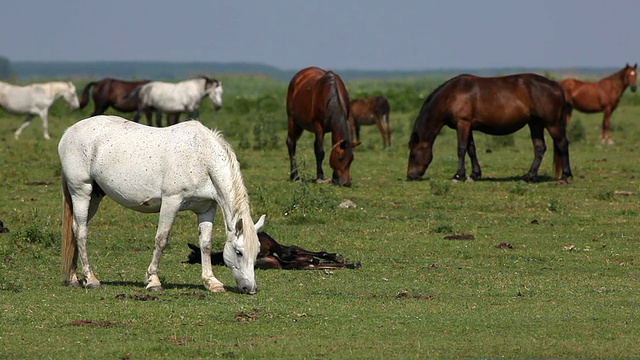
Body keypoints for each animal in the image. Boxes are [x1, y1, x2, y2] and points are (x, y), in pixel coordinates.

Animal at [58, 114, 262, 292]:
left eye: (257, 253)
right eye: (239, 252)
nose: (249, 289)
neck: (201, 157)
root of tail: (68, 132)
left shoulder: (206, 209)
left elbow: (206, 244)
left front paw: (211, 282)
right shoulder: (171, 202)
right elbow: (161, 240)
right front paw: (153, 281)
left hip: (94, 197)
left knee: (75, 229)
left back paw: (74, 278)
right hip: (81, 192)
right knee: (81, 232)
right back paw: (91, 279)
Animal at [408, 74, 572, 184]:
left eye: (413, 154)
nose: (410, 176)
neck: (452, 95)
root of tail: (556, 86)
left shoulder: (463, 123)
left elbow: (461, 149)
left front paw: (458, 175)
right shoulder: (468, 126)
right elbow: (471, 149)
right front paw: (474, 175)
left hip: (552, 124)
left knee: (562, 144)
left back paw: (565, 177)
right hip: (535, 124)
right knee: (540, 148)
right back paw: (528, 177)